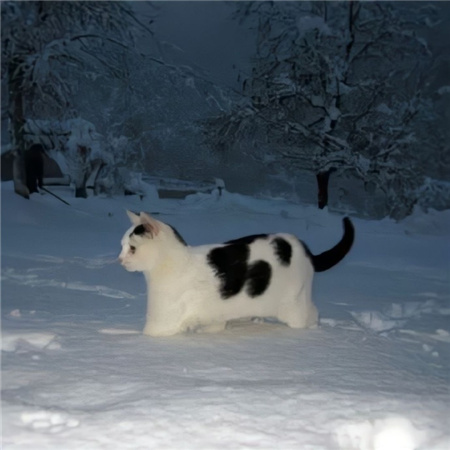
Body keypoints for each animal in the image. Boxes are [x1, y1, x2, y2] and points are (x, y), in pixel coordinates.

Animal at [119, 211, 354, 337]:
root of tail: (304, 248)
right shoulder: (214, 316)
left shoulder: (160, 325)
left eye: (133, 249)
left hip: (294, 307)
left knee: (309, 316)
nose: (120, 260)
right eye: (122, 246)